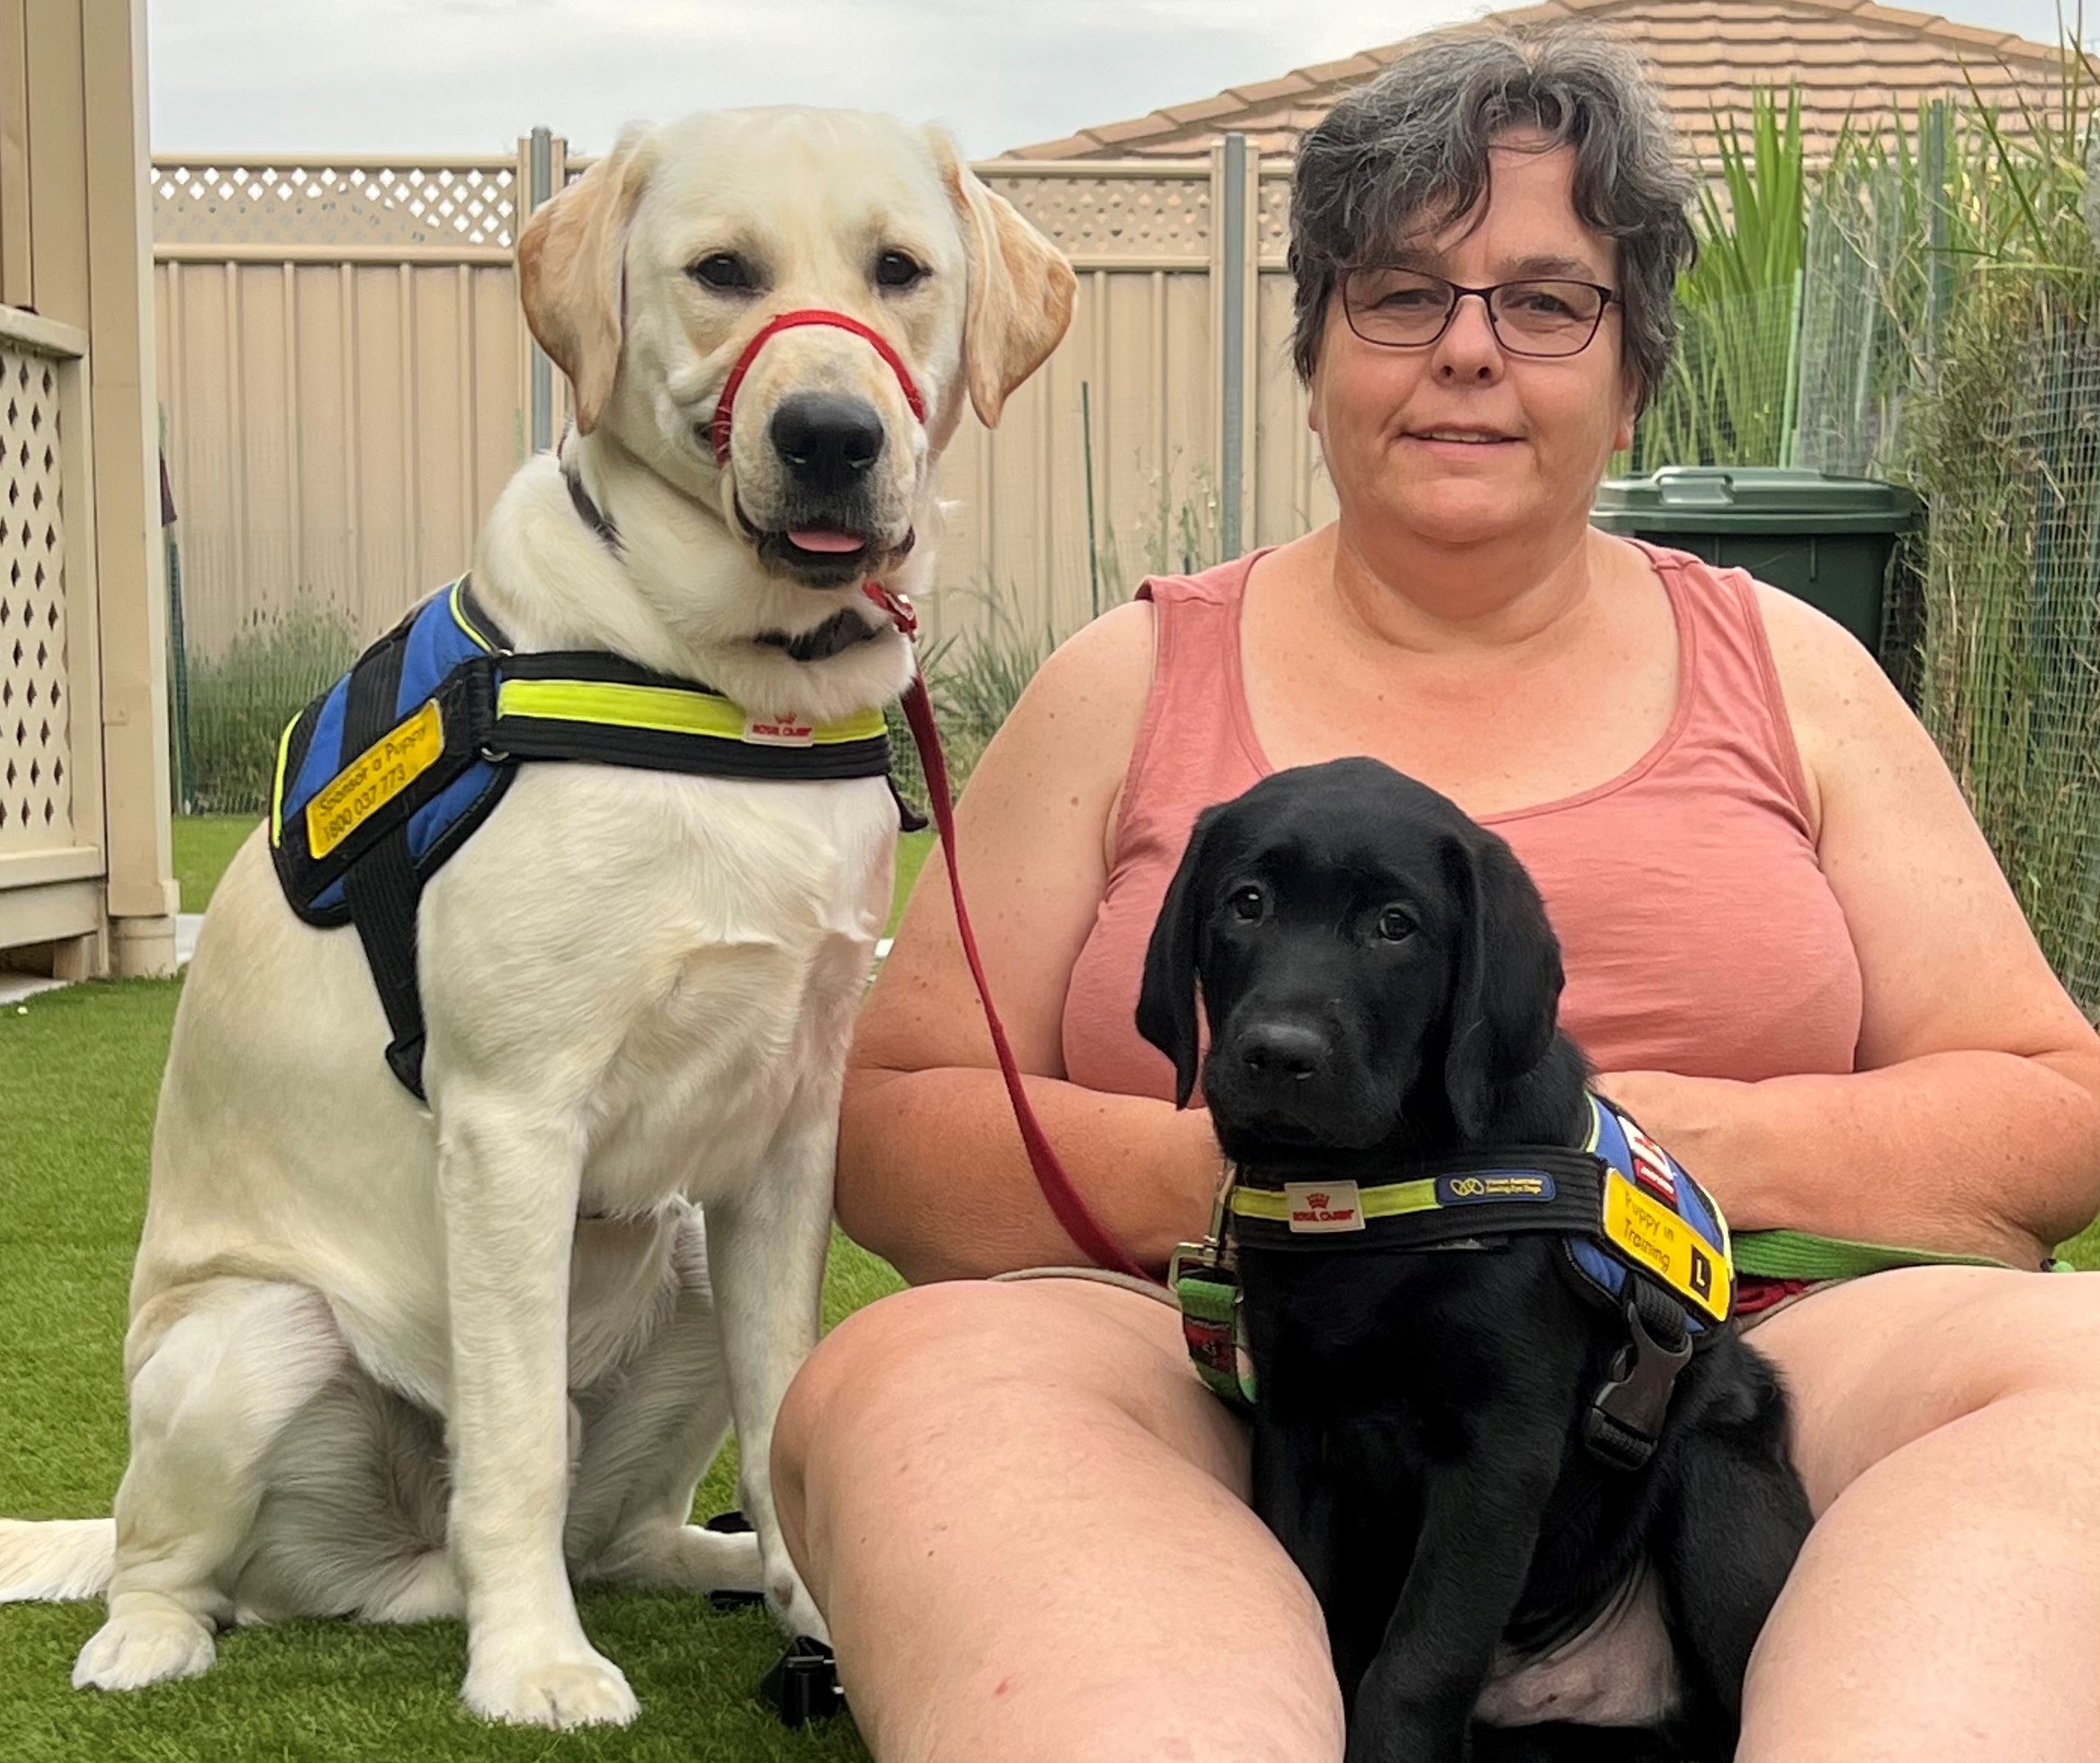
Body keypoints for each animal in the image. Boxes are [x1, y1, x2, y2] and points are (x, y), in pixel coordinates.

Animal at [1134, 756, 1806, 1763]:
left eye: (1395, 925)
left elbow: (1418, 1663)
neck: (1370, 1194)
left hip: (1718, 1485)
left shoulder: (1499, 1452)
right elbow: (1316, 1611)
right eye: (1245, 902)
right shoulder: (1296, 1427)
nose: (1278, 1055)